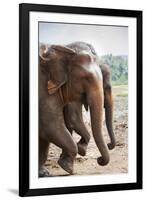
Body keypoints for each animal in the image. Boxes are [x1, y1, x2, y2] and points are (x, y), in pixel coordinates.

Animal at [38, 42, 109, 177]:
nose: (99, 160)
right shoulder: (43, 89)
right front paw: (68, 168)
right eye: (86, 78)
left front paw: (44, 173)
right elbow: (51, 125)